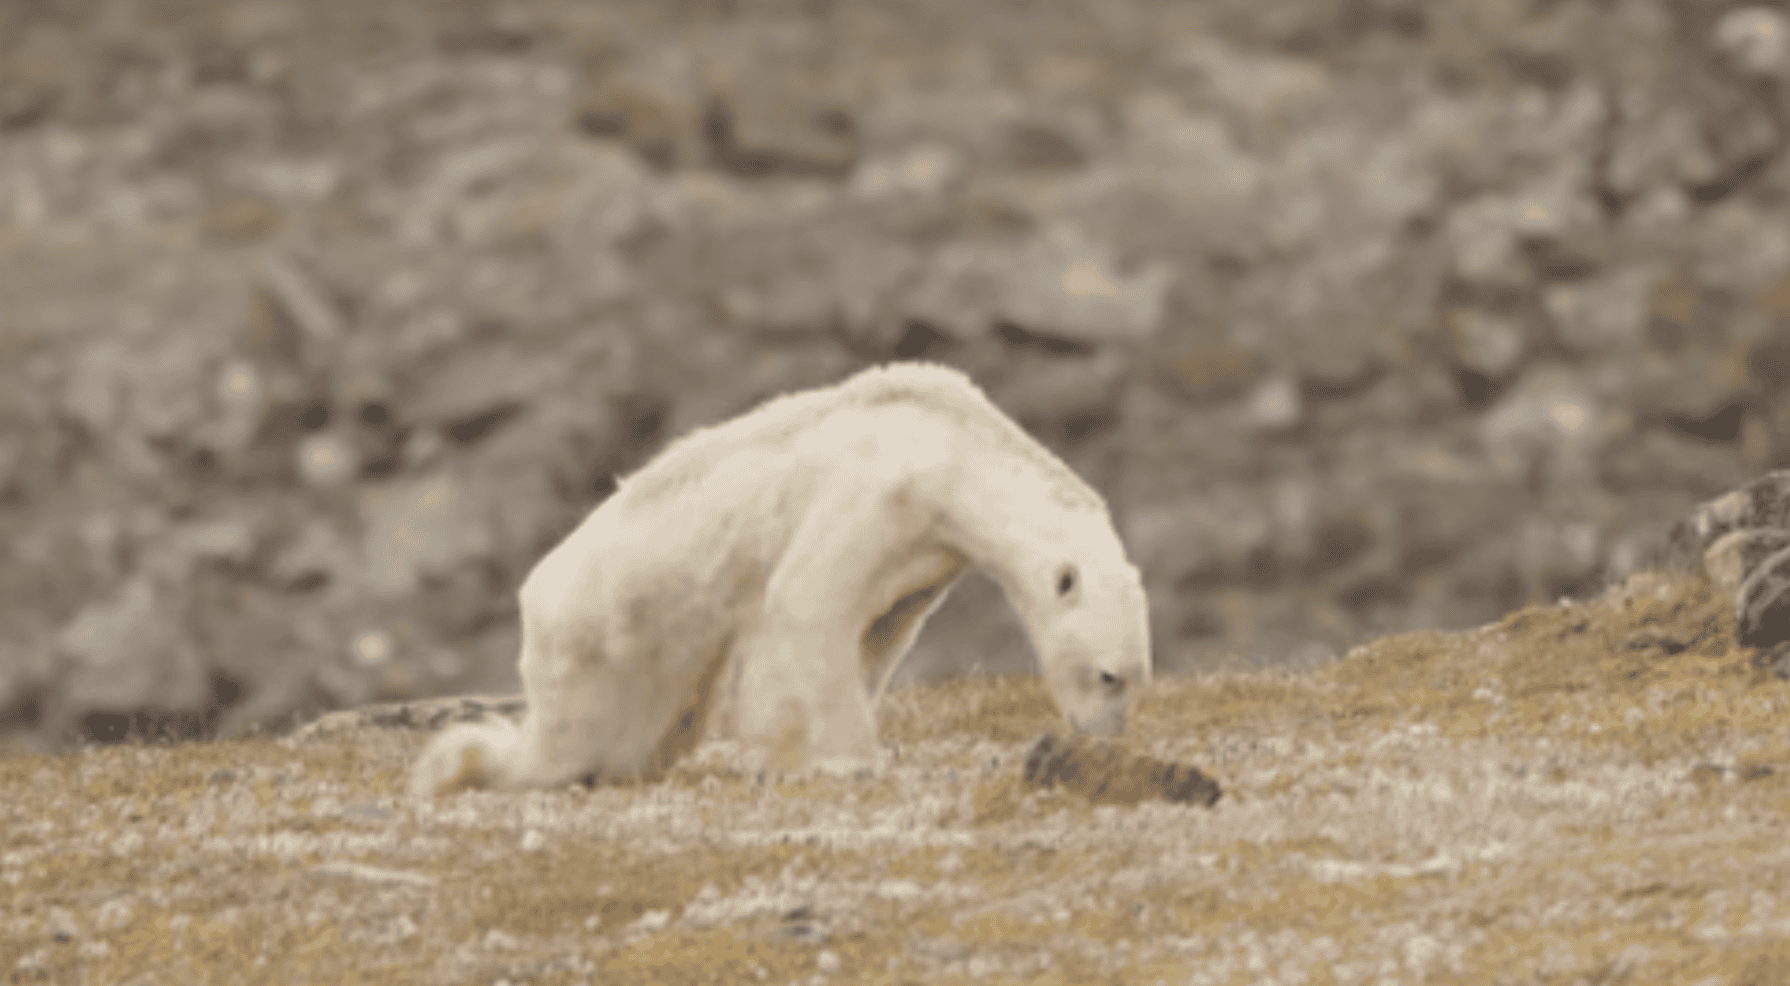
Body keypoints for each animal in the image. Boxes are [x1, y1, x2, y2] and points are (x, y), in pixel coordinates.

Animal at [409, 361, 1152, 796]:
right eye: (1108, 675)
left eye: (1138, 678)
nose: (1105, 739)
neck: (949, 448)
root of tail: (534, 596)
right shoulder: (874, 495)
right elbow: (808, 603)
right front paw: (841, 758)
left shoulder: (926, 555)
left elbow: (876, 632)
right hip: (605, 637)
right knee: (578, 737)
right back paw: (464, 766)